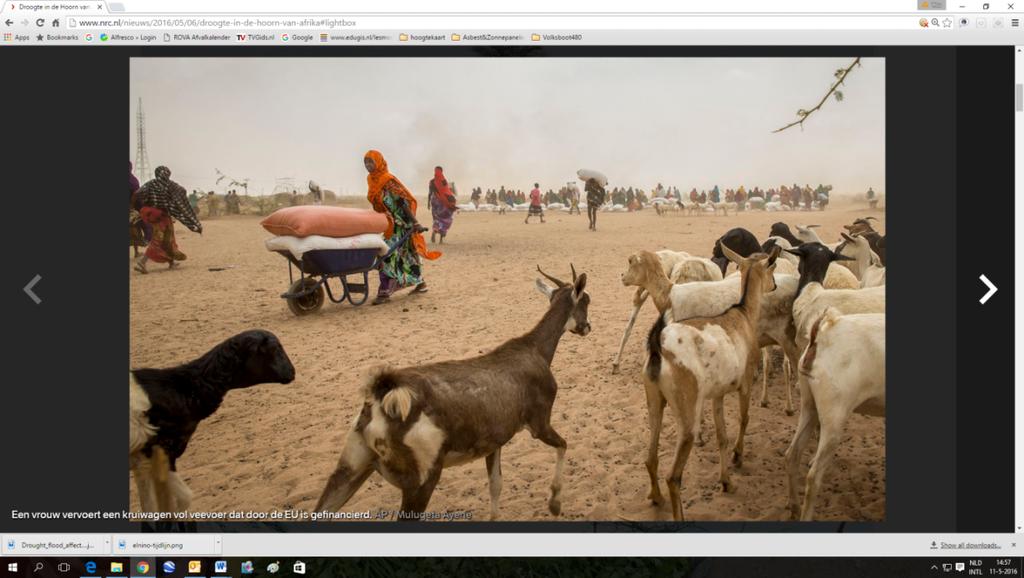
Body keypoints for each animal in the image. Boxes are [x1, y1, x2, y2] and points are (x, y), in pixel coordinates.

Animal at [130, 327, 294, 512]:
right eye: (275, 349)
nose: (292, 372)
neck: (186, 389)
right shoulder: (161, 452)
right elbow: (179, 500)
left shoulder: (144, 460)